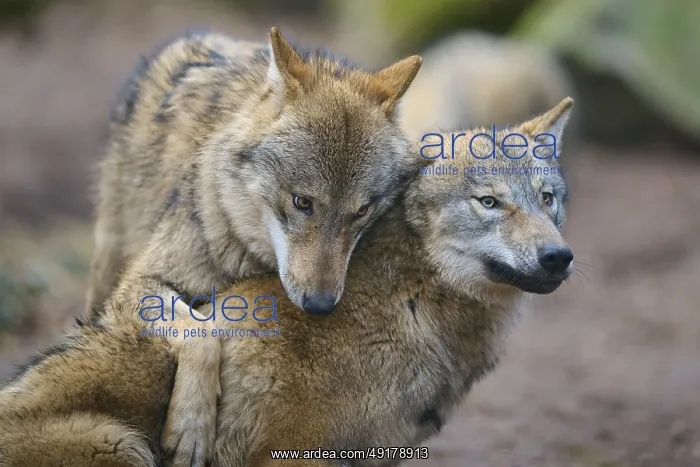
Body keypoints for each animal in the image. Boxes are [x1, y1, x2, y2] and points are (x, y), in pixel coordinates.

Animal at [0, 99, 574, 466]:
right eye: (489, 202)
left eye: (547, 199)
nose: (558, 257)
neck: (411, 299)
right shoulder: (294, 453)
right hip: (122, 445)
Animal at [85, 27, 424, 465]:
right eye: (302, 202)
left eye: (361, 211)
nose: (320, 306)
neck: (248, 254)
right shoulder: (141, 283)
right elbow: (201, 332)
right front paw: (192, 429)